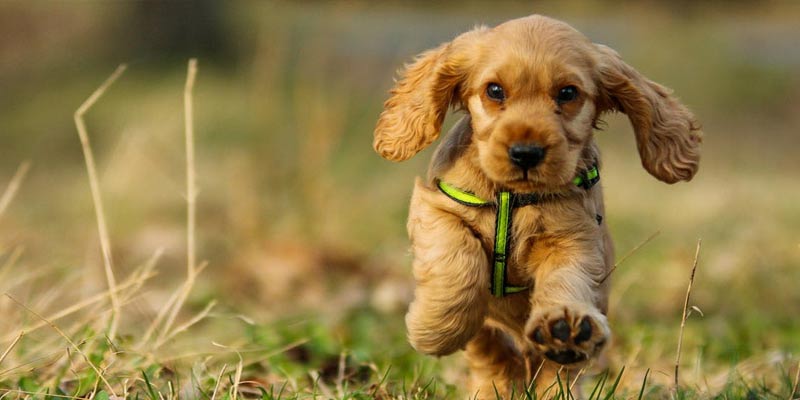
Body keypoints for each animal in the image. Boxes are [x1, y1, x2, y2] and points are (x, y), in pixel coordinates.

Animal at [374, 14, 700, 398]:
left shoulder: (575, 237)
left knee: (551, 371)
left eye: (567, 93)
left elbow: (566, 278)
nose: (526, 153)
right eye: (494, 90)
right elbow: (457, 261)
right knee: (492, 352)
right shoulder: (435, 207)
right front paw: (437, 329)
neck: (514, 197)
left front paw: (564, 326)